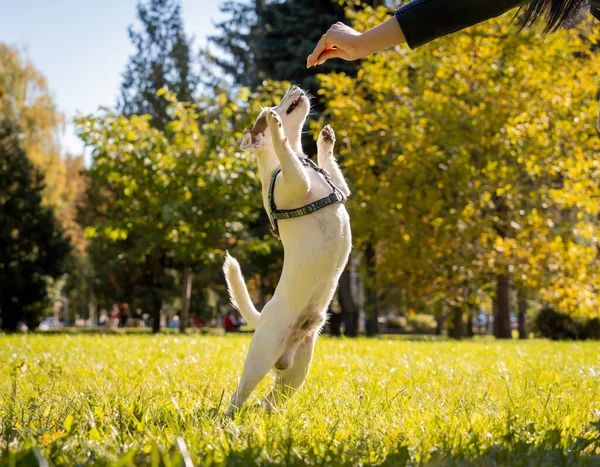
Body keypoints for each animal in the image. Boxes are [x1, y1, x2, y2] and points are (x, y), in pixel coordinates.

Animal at [221, 86, 352, 414]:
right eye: (274, 103)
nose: (293, 87)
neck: (301, 159)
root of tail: (262, 318)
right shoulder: (294, 179)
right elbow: (283, 148)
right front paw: (276, 126)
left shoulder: (342, 190)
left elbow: (330, 167)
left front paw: (325, 140)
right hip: (262, 354)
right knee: (238, 395)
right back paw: (227, 419)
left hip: (297, 371)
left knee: (272, 398)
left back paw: (270, 414)